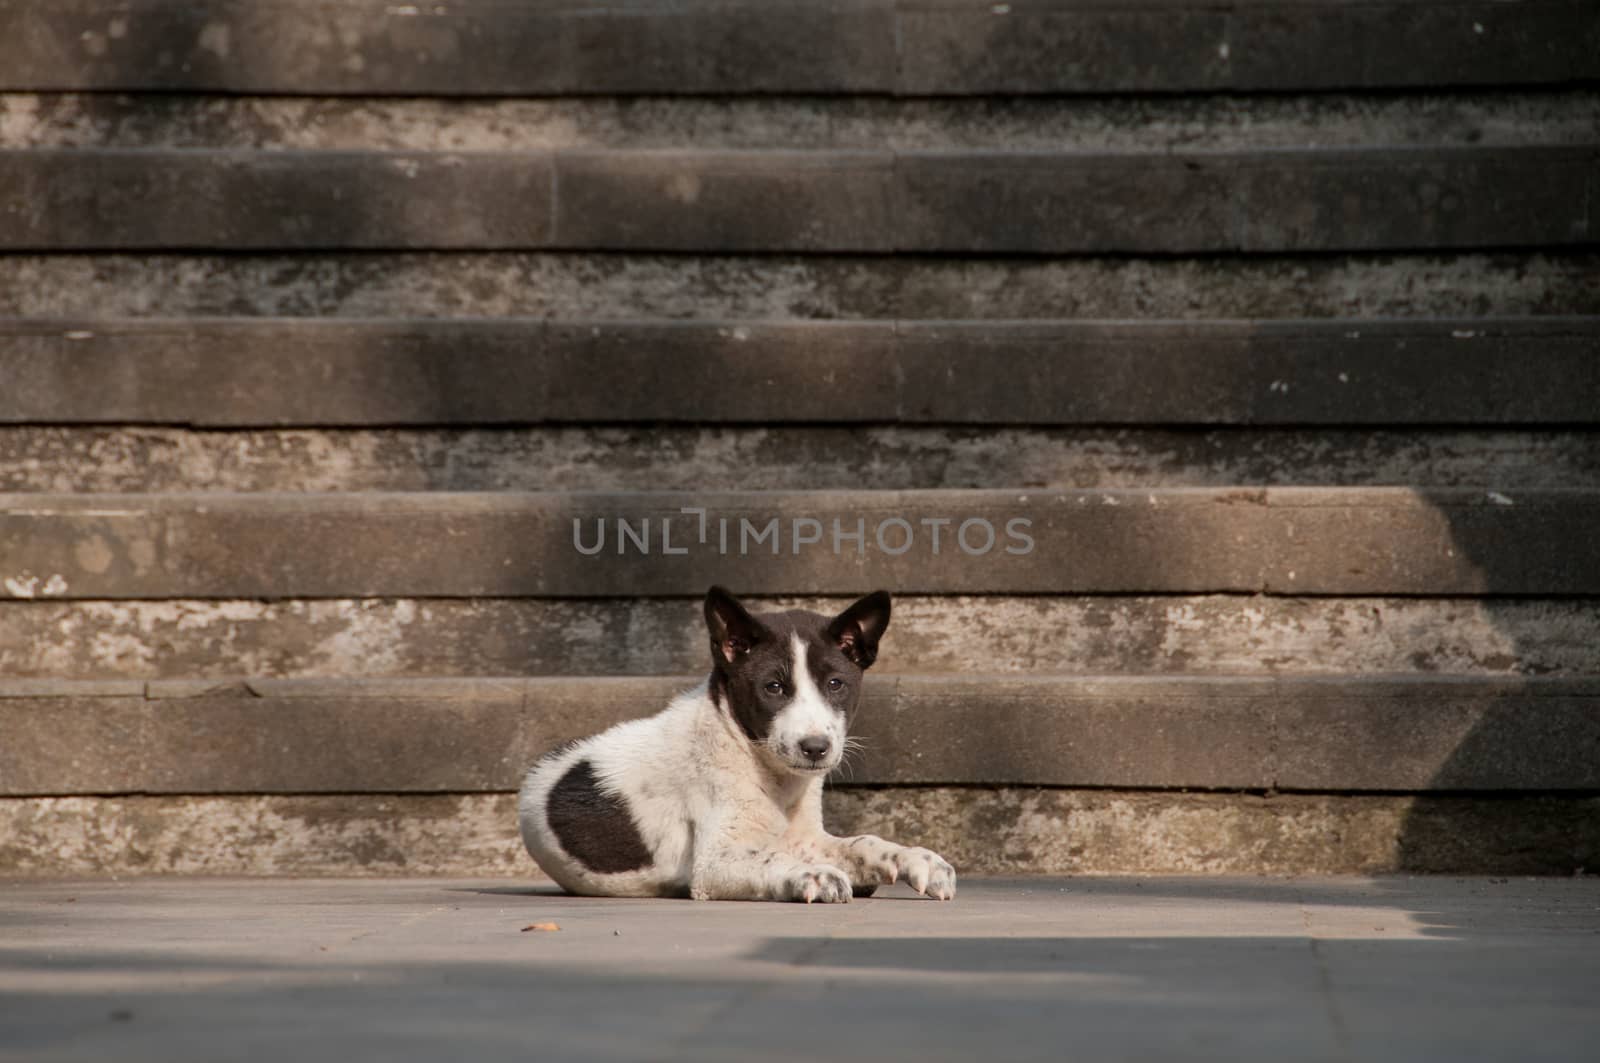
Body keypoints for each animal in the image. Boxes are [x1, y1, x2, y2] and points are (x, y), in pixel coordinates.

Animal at [518, 585, 953, 902]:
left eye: (835, 684)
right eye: (773, 688)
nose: (815, 748)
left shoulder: (809, 838)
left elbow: (864, 841)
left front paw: (918, 858)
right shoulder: (714, 863)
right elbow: (771, 858)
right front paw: (811, 875)